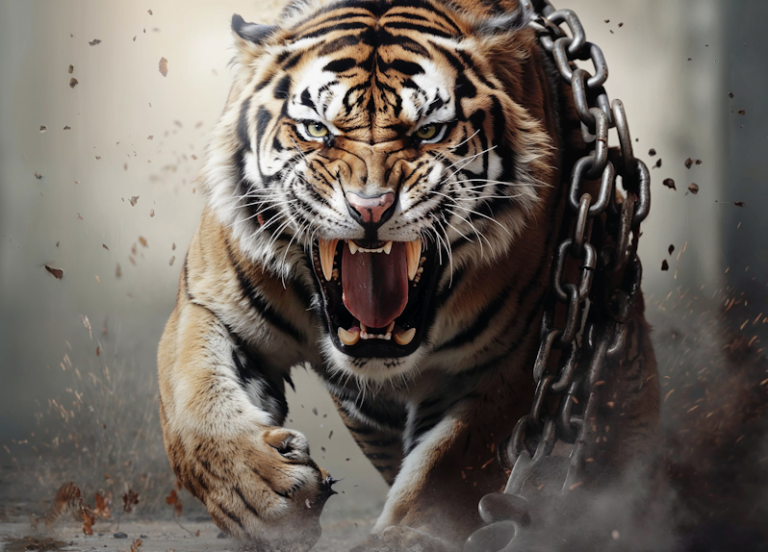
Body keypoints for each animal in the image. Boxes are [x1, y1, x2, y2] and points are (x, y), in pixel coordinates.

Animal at [157, 0, 660, 550]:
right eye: (317, 130)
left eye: (429, 132)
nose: (370, 207)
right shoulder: (209, 303)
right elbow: (193, 403)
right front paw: (262, 494)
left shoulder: (519, 361)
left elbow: (451, 469)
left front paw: (409, 535)